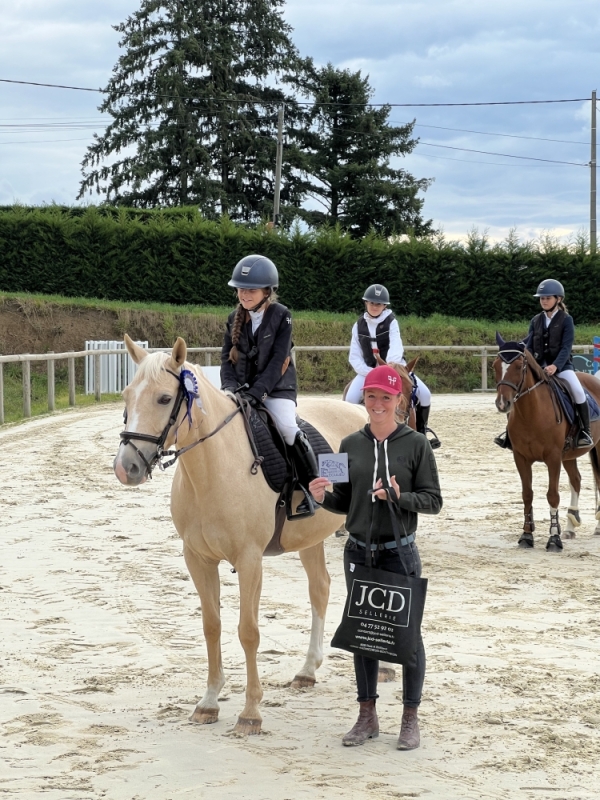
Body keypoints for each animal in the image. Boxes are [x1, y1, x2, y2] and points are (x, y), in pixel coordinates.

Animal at [112, 334, 366, 736]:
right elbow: (211, 625)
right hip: (310, 540)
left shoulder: (249, 561)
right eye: (126, 395)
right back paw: (307, 671)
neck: (213, 468)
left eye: (164, 399)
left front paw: (251, 712)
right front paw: (209, 702)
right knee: (320, 588)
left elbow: (248, 631)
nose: (127, 468)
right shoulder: (198, 559)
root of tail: (363, 414)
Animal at [492, 332, 600, 552]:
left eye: (519, 366)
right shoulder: (521, 458)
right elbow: (527, 494)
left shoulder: (553, 458)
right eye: (495, 365)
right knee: (576, 480)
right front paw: (526, 535)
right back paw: (570, 528)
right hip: (569, 455)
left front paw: (554, 539)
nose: (502, 404)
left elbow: (552, 495)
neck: (531, 413)